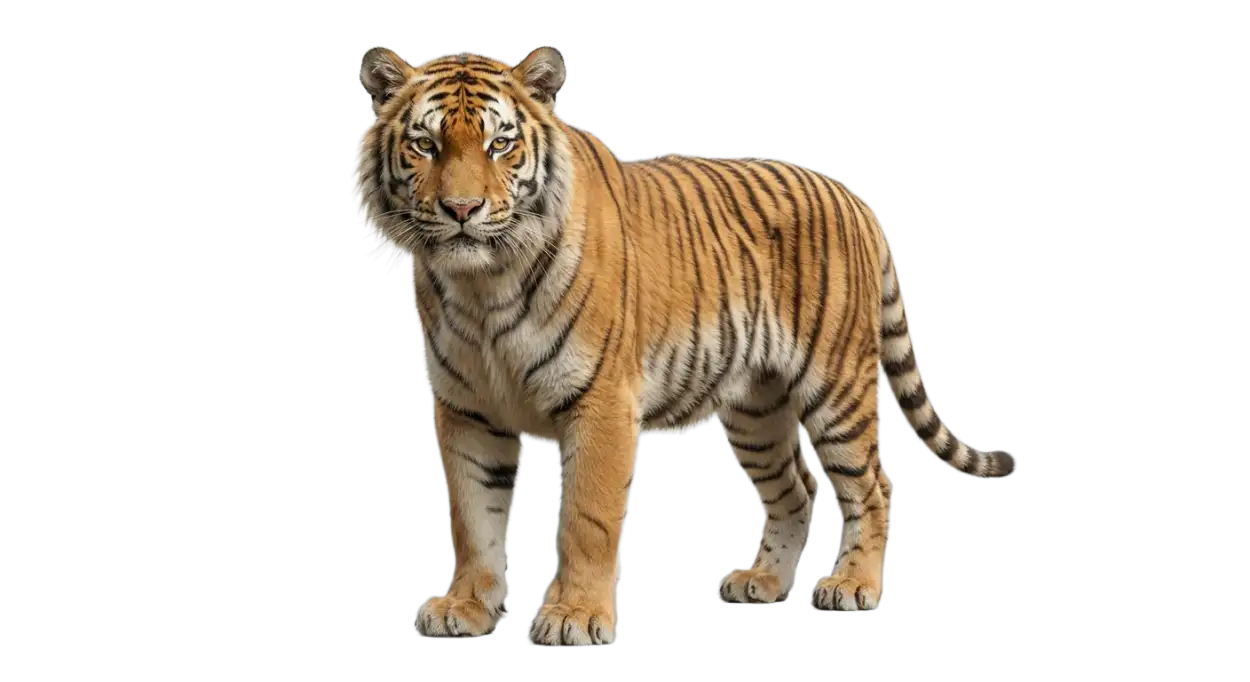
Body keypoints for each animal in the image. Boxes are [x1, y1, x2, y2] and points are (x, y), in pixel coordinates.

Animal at [353, 46, 1016, 646]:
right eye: (426, 145)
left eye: (499, 145)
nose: (462, 209)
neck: (483, 285)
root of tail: (855, 199)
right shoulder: (468, 410)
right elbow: (473, 518)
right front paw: (465, 607)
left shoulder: (601, 403)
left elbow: (587, 521)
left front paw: (573, 618)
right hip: (756, 411)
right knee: (795, 491)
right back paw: (763, 583)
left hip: (837, 387)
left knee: (873, 486)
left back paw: (854, 585)